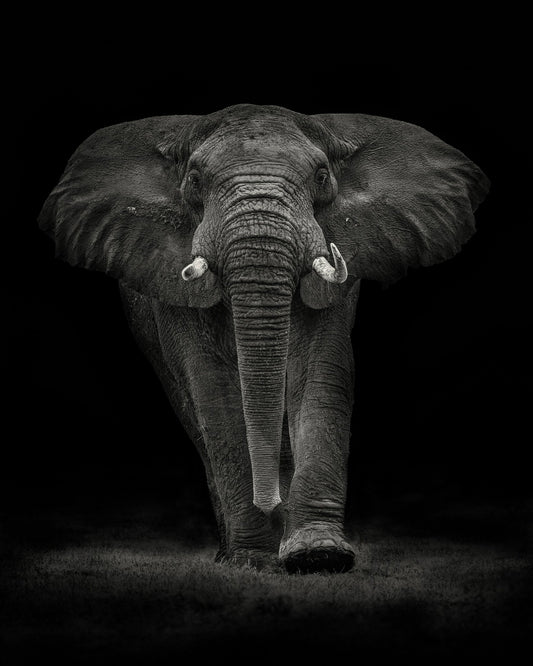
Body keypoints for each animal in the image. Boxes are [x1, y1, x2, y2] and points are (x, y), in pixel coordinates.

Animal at [38, 103, 489, 573]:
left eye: (322, 176)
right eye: (194, 179)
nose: (269, 502)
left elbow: (319, 373)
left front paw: (319, 556)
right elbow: (214, 392)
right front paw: (253, 560)